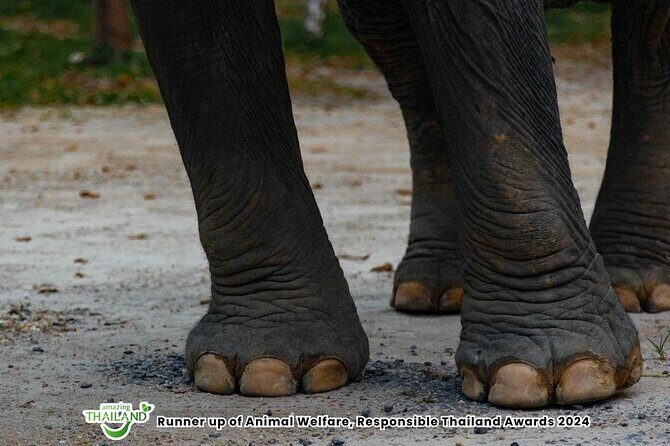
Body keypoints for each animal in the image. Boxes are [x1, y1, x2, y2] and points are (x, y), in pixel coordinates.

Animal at [128, 0, 669, 408]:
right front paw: (260, 367)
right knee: (400, 49)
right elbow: (205, 51)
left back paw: (636, 287)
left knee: (648, 38)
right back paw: (431, 292)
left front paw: (559, 378)